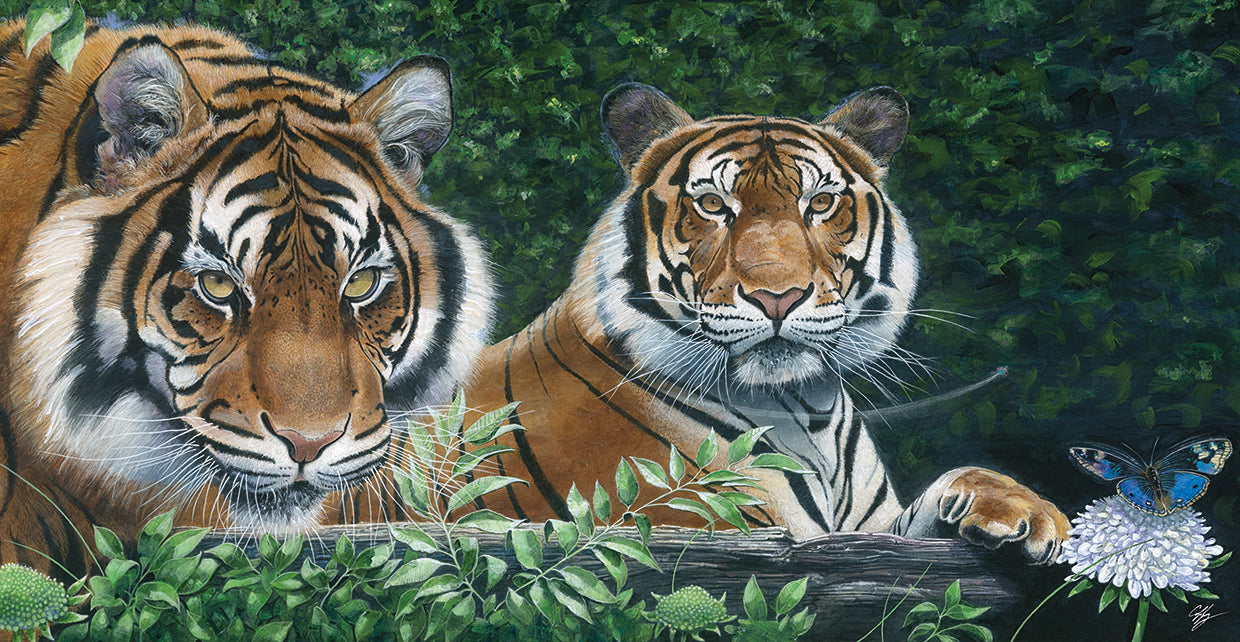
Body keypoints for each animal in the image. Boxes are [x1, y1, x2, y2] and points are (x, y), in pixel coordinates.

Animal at [463, 83, 1069, 563]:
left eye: (820, 203)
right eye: (711, 204)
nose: (778, 297)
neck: (808, 410)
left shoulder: (871, 530)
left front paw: (1028, 512)